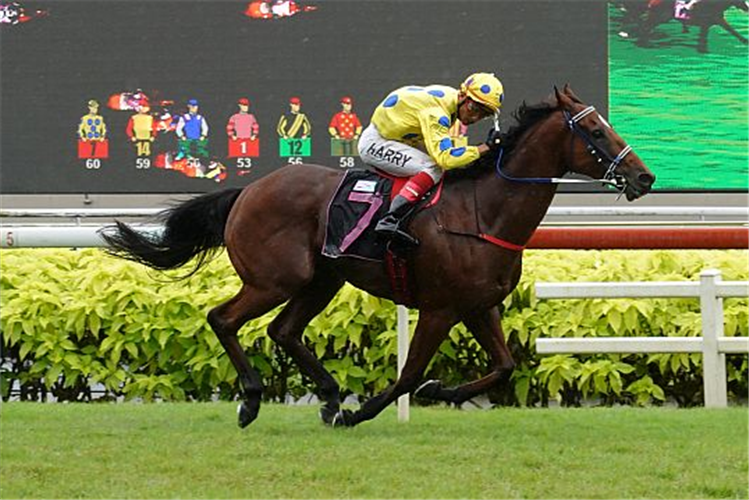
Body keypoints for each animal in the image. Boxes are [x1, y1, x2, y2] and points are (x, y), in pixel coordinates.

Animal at [101, 85, 656, 426]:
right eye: (597, 131)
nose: (645, 176)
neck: (483, 212)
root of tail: (249, 189)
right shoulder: (440, 307)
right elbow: (408, 374)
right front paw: (365, 410)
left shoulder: (481, 305)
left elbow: (503, 366)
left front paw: (441, 392)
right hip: (275, 279)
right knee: (224, 319)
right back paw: (254, 399)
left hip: (322, 279)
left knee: (283, 331)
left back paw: (328, 396)